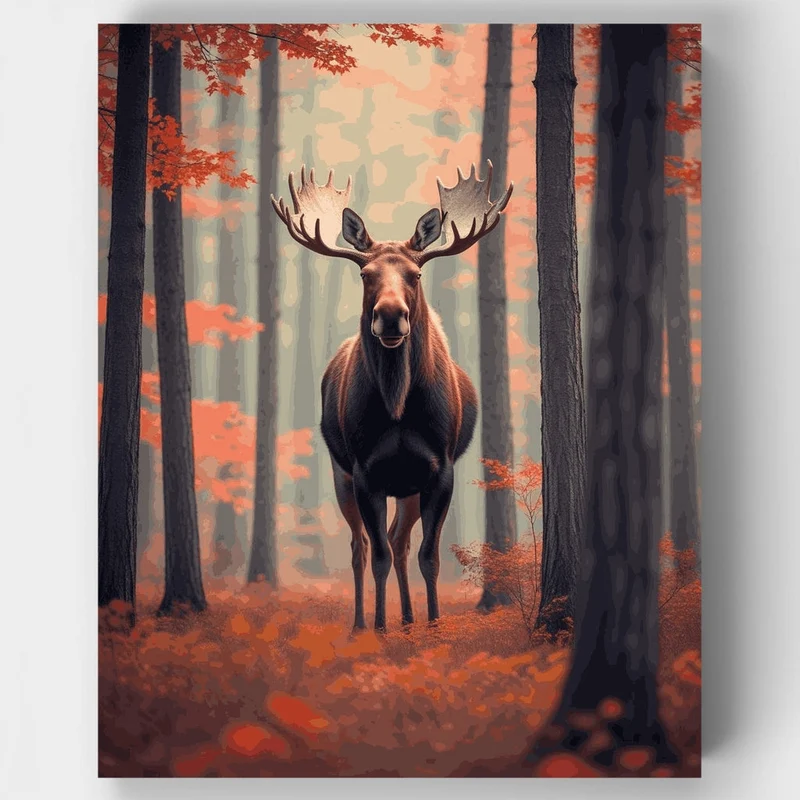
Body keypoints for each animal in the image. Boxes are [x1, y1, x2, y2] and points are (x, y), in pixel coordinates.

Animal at [271, 162, 512, 631]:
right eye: (366, 275)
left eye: (415, 275)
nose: (390, 315)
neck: (399, 408)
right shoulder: (366, 470)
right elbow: (378, 554)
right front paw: (379, 629)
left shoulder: (440, 467)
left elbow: (428, 556)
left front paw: (433, 625)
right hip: (341, 473)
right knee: (362, 548)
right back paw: (363, 623)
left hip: (409, 487)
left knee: (401, 541)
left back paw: (408, 618)